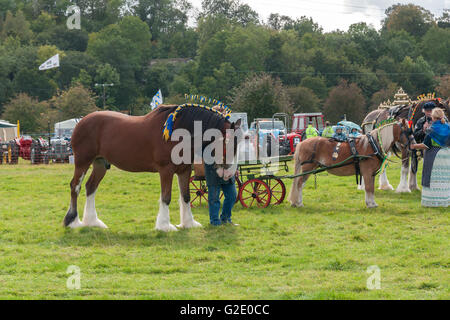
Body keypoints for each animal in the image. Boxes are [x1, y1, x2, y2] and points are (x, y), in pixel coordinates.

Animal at [63, 105, 243, 232]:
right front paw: (164, 226)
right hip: (82, 162)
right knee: (75, 187)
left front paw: (188, 224)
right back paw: (73, 222)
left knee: (90, 187)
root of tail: (81, 122)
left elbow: (185, 196)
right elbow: (166, 197)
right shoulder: (166, 170)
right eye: (227, 142)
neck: (179, 131)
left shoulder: (184, 170)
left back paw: (92, 222)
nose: (228, 173)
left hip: (100, 163)